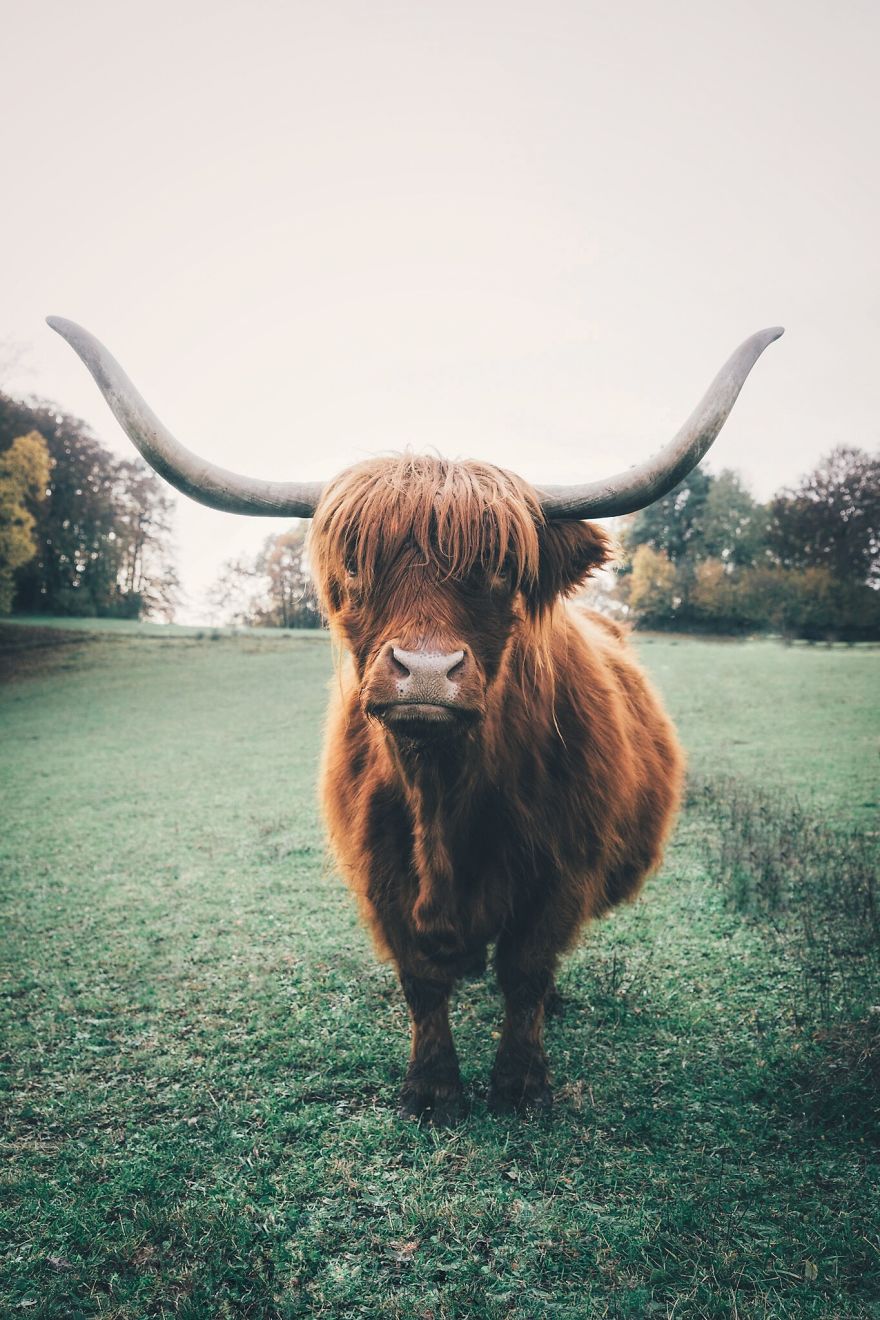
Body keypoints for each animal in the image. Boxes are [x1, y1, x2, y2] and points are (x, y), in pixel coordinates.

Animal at [48, 316, 782, 1121]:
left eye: (503, 570)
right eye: (356, 565)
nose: (427, 672)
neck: (443, 797)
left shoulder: (563, 870)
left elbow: (526, 971)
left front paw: (520, 1085)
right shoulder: (382, 879)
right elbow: (423, 981)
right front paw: (432, 1089)